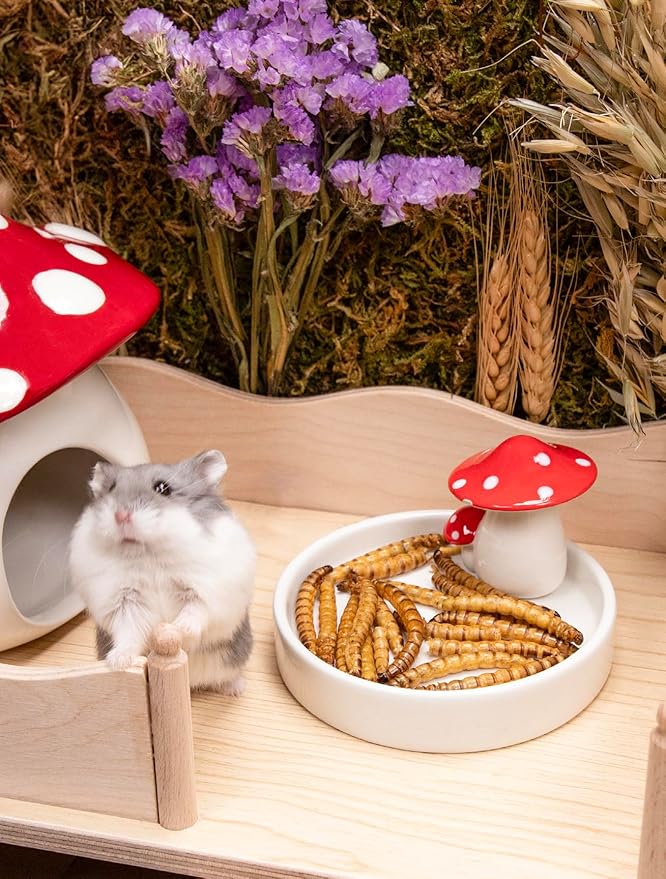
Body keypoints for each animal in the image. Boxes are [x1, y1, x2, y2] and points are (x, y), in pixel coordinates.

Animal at [67, 450, 255, 696]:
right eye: (111, 488)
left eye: (163, 488)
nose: (121, 515)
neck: (149, 556)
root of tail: (190, 682)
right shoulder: (124, 601)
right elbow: (128, 631)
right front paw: (118, 662)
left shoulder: (208, 590)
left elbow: (196, 609)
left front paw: (179, 627)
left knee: (225, 676)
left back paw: (237, 689)